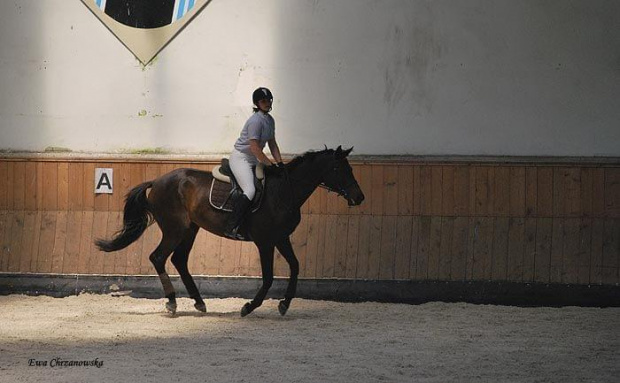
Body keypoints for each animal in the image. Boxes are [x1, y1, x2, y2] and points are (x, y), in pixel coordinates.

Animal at [94, 146, 360, 316]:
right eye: (339, 169)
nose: (360, 197)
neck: (285, 191)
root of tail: (158, 181)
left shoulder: (281, 238)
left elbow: (295, 267)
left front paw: (284, 304)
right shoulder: (265, 241)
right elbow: (268, 277)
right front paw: (249, 307)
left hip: (190, 229)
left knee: (179, 260)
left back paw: (199, 302)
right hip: (174, 229)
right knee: (158, 257)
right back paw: (172, 302)